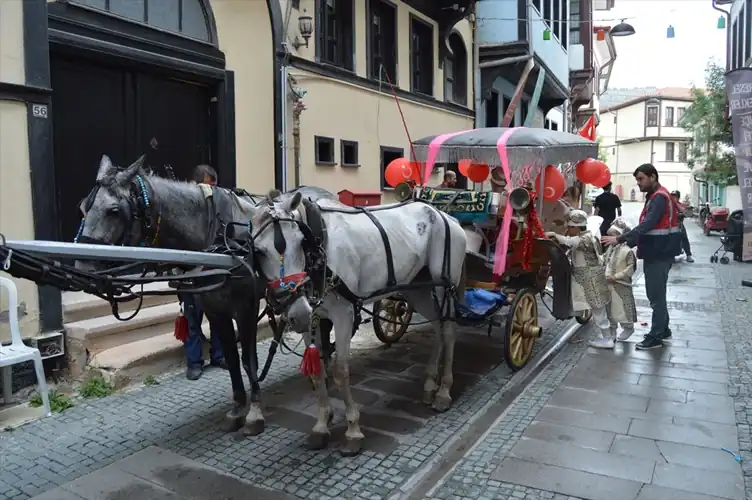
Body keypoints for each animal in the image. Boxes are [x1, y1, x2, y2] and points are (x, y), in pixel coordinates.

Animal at [75, 155, 334, 434]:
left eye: (113, 210)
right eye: (84, 207)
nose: (82, 268)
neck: (219, 242)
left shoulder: (245, 309)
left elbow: (249, 359)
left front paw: (254, 411)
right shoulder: (215, 309)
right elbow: (232, 357)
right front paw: (237, 406)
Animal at [250, 191, 468, 458]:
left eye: (300, 241)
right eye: (259, 251)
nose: (298, 313)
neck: (321, 246)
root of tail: (446, 216)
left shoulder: (343, 315)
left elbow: (341, 372)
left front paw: (353, 430)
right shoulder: (314, 317)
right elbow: (318, 371)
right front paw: (321, 426)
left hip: (444, 285)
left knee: (448, 331)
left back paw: (444, 392)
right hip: (418, 288)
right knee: (438, 327)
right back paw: (429, 384)